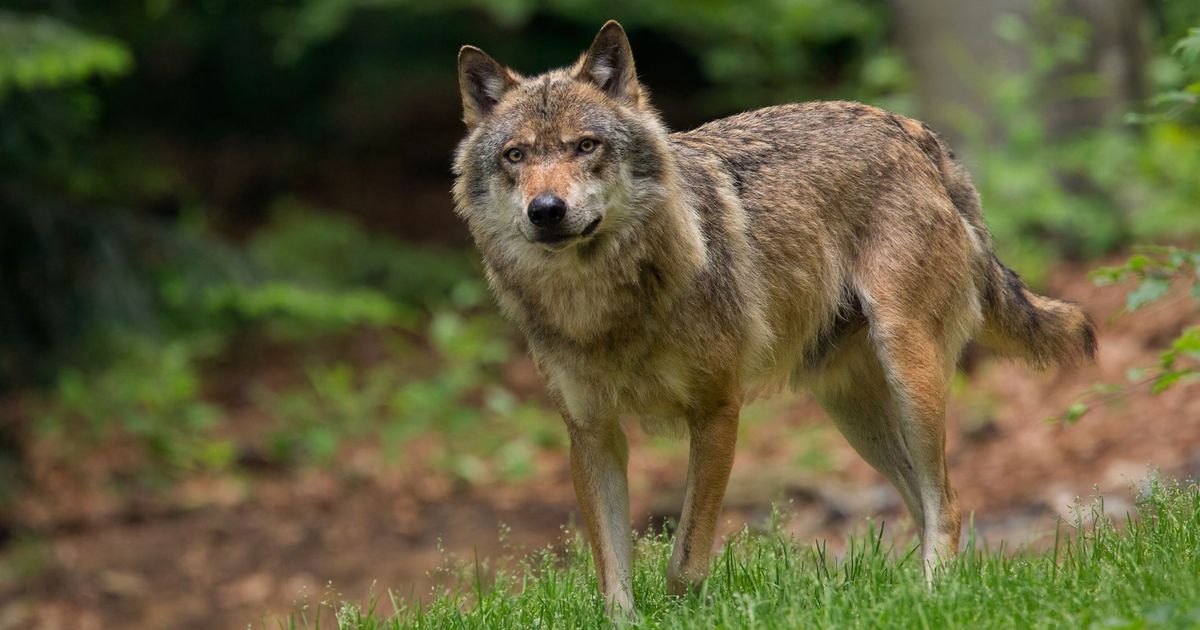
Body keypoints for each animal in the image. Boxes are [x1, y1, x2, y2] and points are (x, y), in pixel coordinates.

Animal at [452, 20, 1095, 613]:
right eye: (516, 156)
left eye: (585, 146)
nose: (546, 210)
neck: (602, 307)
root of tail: (912, 130)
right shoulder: (591, 435)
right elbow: (613, 580)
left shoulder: (717, 412)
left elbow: (685, 560)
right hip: (852, 411)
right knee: (921, 499)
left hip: (908, 375)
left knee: (949, 503)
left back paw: (938, 598)